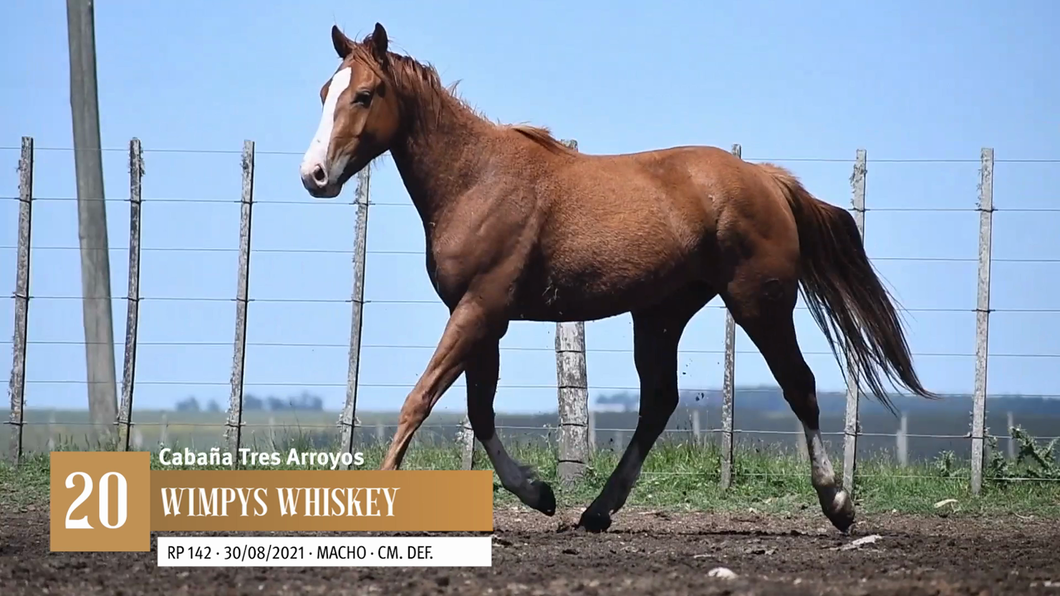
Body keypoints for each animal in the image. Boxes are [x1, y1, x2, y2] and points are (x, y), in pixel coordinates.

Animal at [294, 24, 932, 534]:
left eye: (365, 94)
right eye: (325, 93)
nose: (314, 175)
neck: (477, 180)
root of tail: (766, 178)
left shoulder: (480, 310)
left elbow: (419, 400)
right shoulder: (481, 318)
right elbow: (479, 411)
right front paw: (540, 493)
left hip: (760, 303)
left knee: (799, 387)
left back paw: (838, 504)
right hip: (660, 314)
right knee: (658, 402)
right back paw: (598, 510)